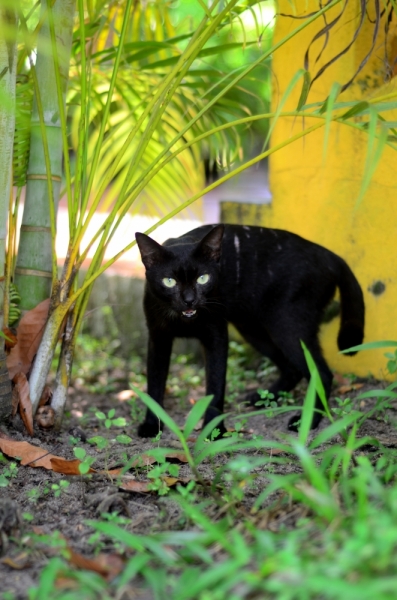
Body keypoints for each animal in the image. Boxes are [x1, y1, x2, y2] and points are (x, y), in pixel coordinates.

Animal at [135, 224, 364, 436]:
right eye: (169, 281)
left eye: (203, 278)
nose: (189, 300)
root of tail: (329, 255)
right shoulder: (158, 339)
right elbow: (154, 384)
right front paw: (152, 426)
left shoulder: (216, 336)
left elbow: (216, 386)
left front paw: (215, 431)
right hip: (254, 329)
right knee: (293, 369)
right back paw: (264, 397)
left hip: (287, 326)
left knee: (322, 374)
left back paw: (306, 421)